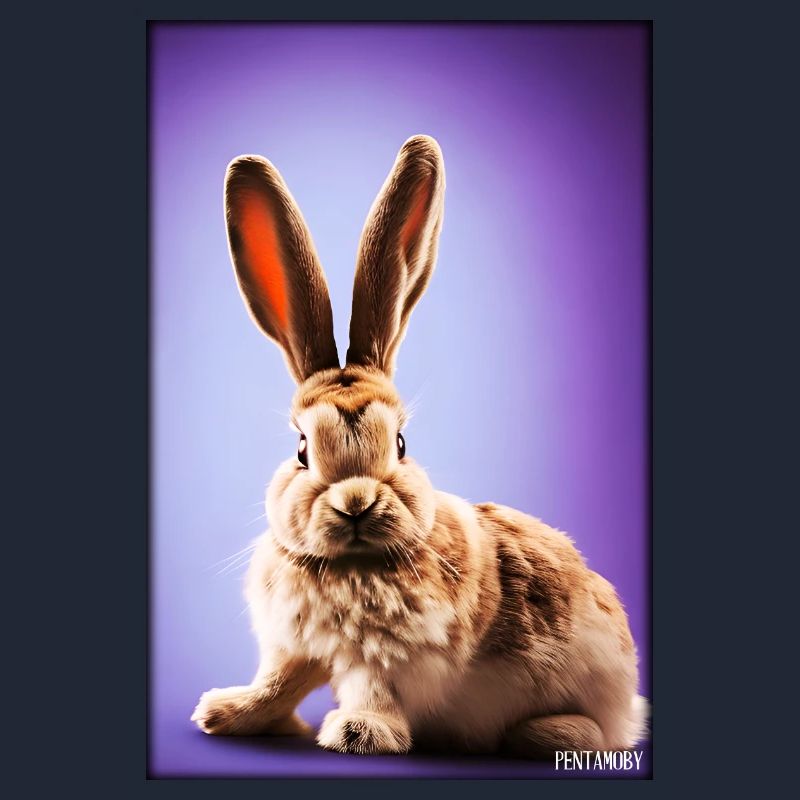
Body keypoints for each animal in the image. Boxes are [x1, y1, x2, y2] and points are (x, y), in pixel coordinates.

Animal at [191, 135, 648, 757]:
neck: (351, 565)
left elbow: (371, 689)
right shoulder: (295, 648)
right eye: (302, 449)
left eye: (402, 443)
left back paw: (545, 732)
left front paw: (359, 733)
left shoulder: (386, 657)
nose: (355, 503)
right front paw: (223, 714)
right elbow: (277, 684)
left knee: (596, 730)